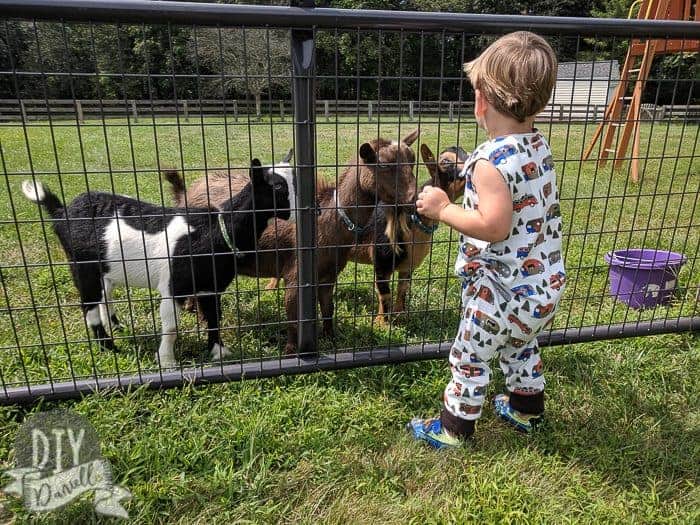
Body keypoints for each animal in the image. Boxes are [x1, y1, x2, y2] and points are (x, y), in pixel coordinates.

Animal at [21, 160, 290, 368]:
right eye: (277, 186)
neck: (215, 229)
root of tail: (61, 212)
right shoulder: (173, 286)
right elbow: (171, 327)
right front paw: (167, 362)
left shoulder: (209, 285)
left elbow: (214, 318)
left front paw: (218, 352)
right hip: (82, 265)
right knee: (89, 306)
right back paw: (108, 347)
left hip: (106, 268)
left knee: (105, 295)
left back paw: (117, 326)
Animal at [161, 129, 418, 354]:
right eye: (383, 164)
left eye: (412, 160)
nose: (413, 199)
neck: (328, 219)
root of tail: (185, 194)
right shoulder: (295, 276)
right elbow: (294, 317)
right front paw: (292, 351)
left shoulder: (328, 276)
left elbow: (328, 309)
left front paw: (331, 338)